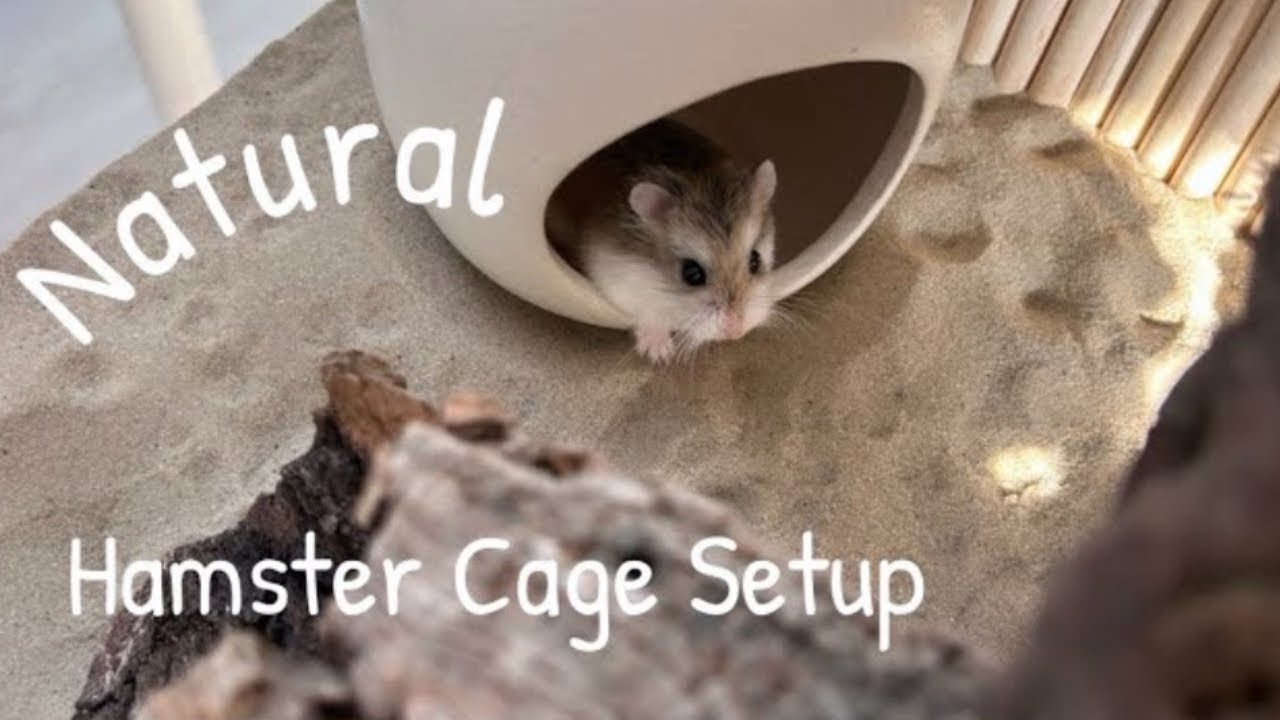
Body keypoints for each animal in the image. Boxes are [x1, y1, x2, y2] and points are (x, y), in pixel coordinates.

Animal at [547, 118, 778, 364]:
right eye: (691, 274)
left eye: (755, 260)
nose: (736, 332)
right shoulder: (617, 276)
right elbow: (649, 311)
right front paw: (659, 354)